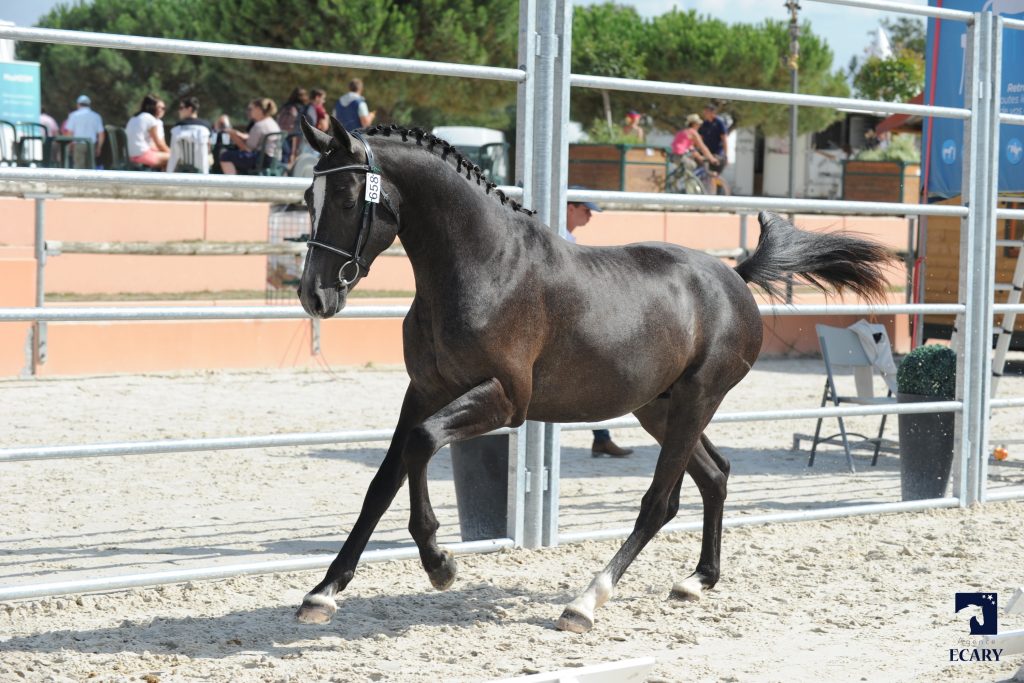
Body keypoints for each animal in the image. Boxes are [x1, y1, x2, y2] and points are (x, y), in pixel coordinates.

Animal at [293, 116, 893, 633]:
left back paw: (586, 601)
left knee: (661, 502)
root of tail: (734, 276)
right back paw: (697, 581)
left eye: (346, 198)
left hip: (697, 400)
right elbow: (383, 481)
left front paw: (440, 563)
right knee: (715, 475)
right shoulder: (423, 392)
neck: (486, 266)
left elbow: (420, 445)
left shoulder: (504, 401)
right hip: (659, 407)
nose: (314, 295)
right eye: (307, 199)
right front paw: (323, 593)